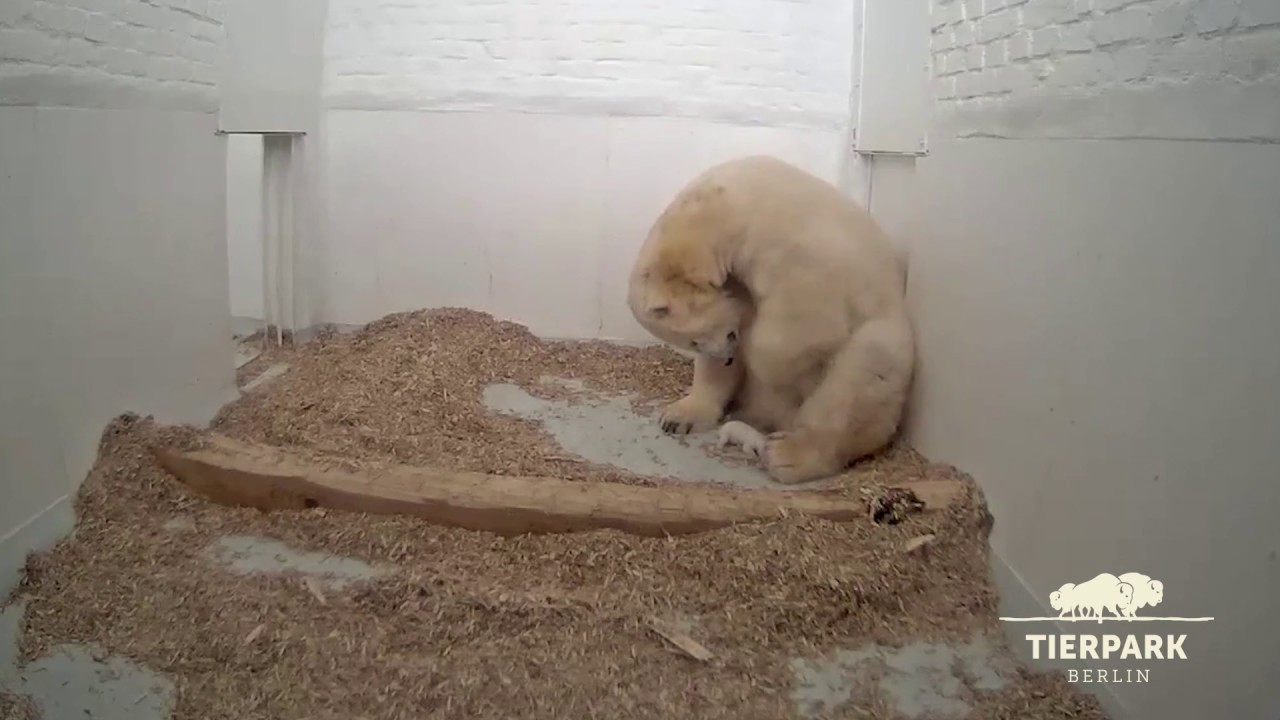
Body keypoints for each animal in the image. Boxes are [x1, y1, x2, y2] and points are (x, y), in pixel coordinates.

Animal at [626, 155, 915, 484]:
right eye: (694, 343)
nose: (726, 353)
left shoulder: (793, 245)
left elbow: (808, 317)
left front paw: (775, 366)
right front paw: (679, 414)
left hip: (883, 344)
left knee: (857, 379)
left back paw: (786, 454)